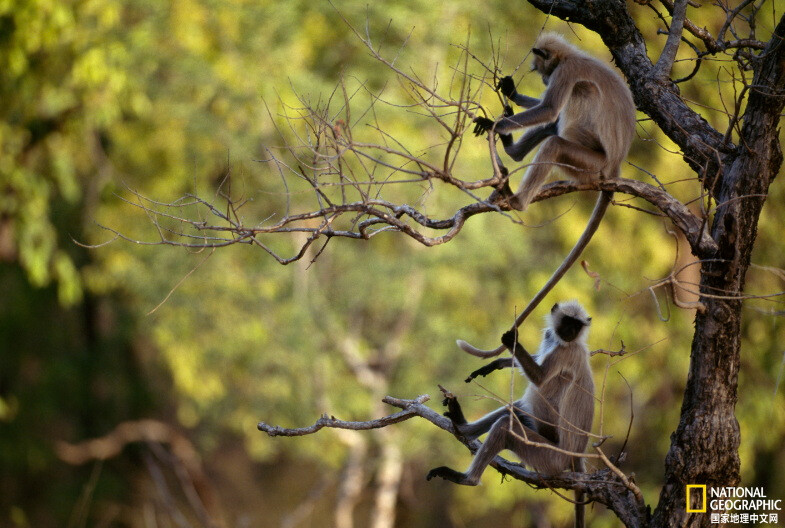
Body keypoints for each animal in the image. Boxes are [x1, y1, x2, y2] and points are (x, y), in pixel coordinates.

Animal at [428, 302, 596, 528]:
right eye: (568, 322)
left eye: (576, 326)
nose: (570, 332)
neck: (564, 342)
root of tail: (576, 455)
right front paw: (498, 362)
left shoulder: (566, 352)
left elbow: (540, 378)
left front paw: (511, 340)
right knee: (513, 408)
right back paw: (463, 427)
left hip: (551, 458)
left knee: (505, 425)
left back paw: (467, 479)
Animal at [460, 34, 636, 358]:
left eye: (539, 66)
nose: (541, 77)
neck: (572, 56)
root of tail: (615, 167)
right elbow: (545, 110)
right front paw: (513, 94)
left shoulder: (566, 71)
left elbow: (550, 108)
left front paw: (493, 124)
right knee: (553, 128)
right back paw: (512, 151)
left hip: (589, 164)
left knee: (558, 133)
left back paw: (517, 199)